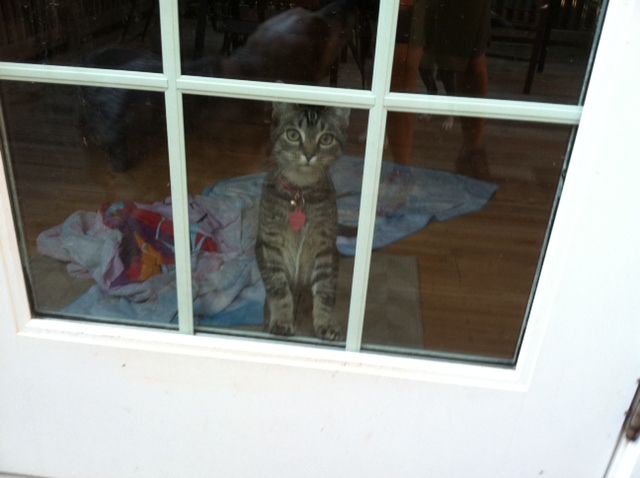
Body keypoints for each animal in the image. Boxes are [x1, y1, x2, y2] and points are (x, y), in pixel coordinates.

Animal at [256, 102, 350, 340]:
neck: (300, 193)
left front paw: (325, 323)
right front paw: (281, 320)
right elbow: (279, 288)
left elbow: (325, 291)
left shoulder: (325, 246)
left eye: (326, 139)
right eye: (293, 135)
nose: (308, 154)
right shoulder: (269, 244)